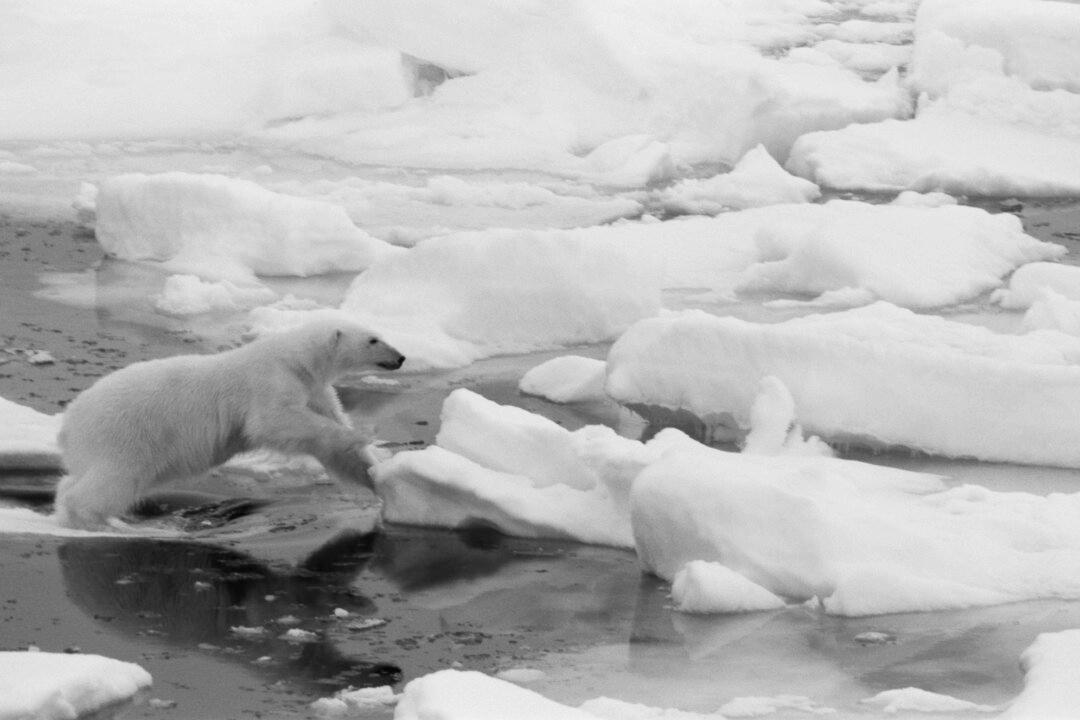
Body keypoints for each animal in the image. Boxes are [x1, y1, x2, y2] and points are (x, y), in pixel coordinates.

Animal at [53, 318, 406, 529]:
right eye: (374, 339)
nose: (401, 357)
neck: (296, 359)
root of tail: (69, 424)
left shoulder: (315, 389)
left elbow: (333, 448)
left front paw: (375, 473)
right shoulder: (269, 381)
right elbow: (271, 422)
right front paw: (359, 436)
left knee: (82, 478)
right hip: (124, 433)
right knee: (114, 479)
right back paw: (95, 520)